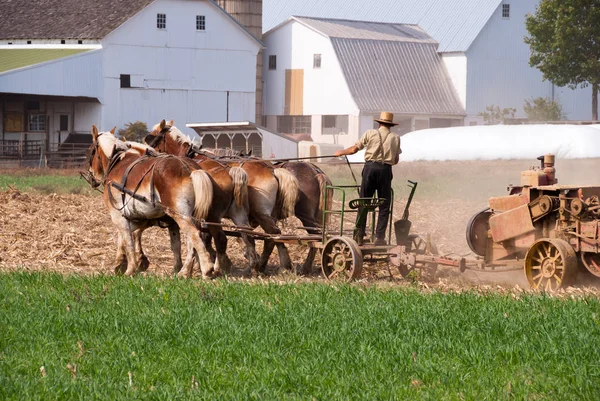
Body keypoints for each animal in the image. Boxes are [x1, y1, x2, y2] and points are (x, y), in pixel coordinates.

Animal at [88, 126, 219, 276]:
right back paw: (186, 271)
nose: (91, 178)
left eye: (91, 150)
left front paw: (130, 268)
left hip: (180, 215)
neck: (117, 162)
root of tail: (189, 168)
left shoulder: (118, 216)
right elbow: (126, 237)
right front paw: (121, 263)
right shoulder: (138, 218)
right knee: (193, 240)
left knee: (194, 235)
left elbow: (128, 240)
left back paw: (205, 268)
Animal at [146, 120, 300, 272]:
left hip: (260, 213)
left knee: (273, 234)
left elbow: (204, 237)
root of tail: (271, 170)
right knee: (267, 237)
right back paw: (261, 265)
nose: (147, 153)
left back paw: (279, 265)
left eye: (153, 138)